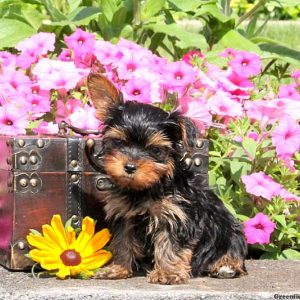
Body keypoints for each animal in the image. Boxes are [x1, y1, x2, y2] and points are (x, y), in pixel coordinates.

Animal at [86, 72, 246, 284]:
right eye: (119, 142)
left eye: (155, 150)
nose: (129, 167)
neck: (146, 188)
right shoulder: (124, 215)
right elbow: (122, 242)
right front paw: (118, 268)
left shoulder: (175, 215)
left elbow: (170, 245)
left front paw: (168, 273)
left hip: (230, 231)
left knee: (233, 250)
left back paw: (225, 266)